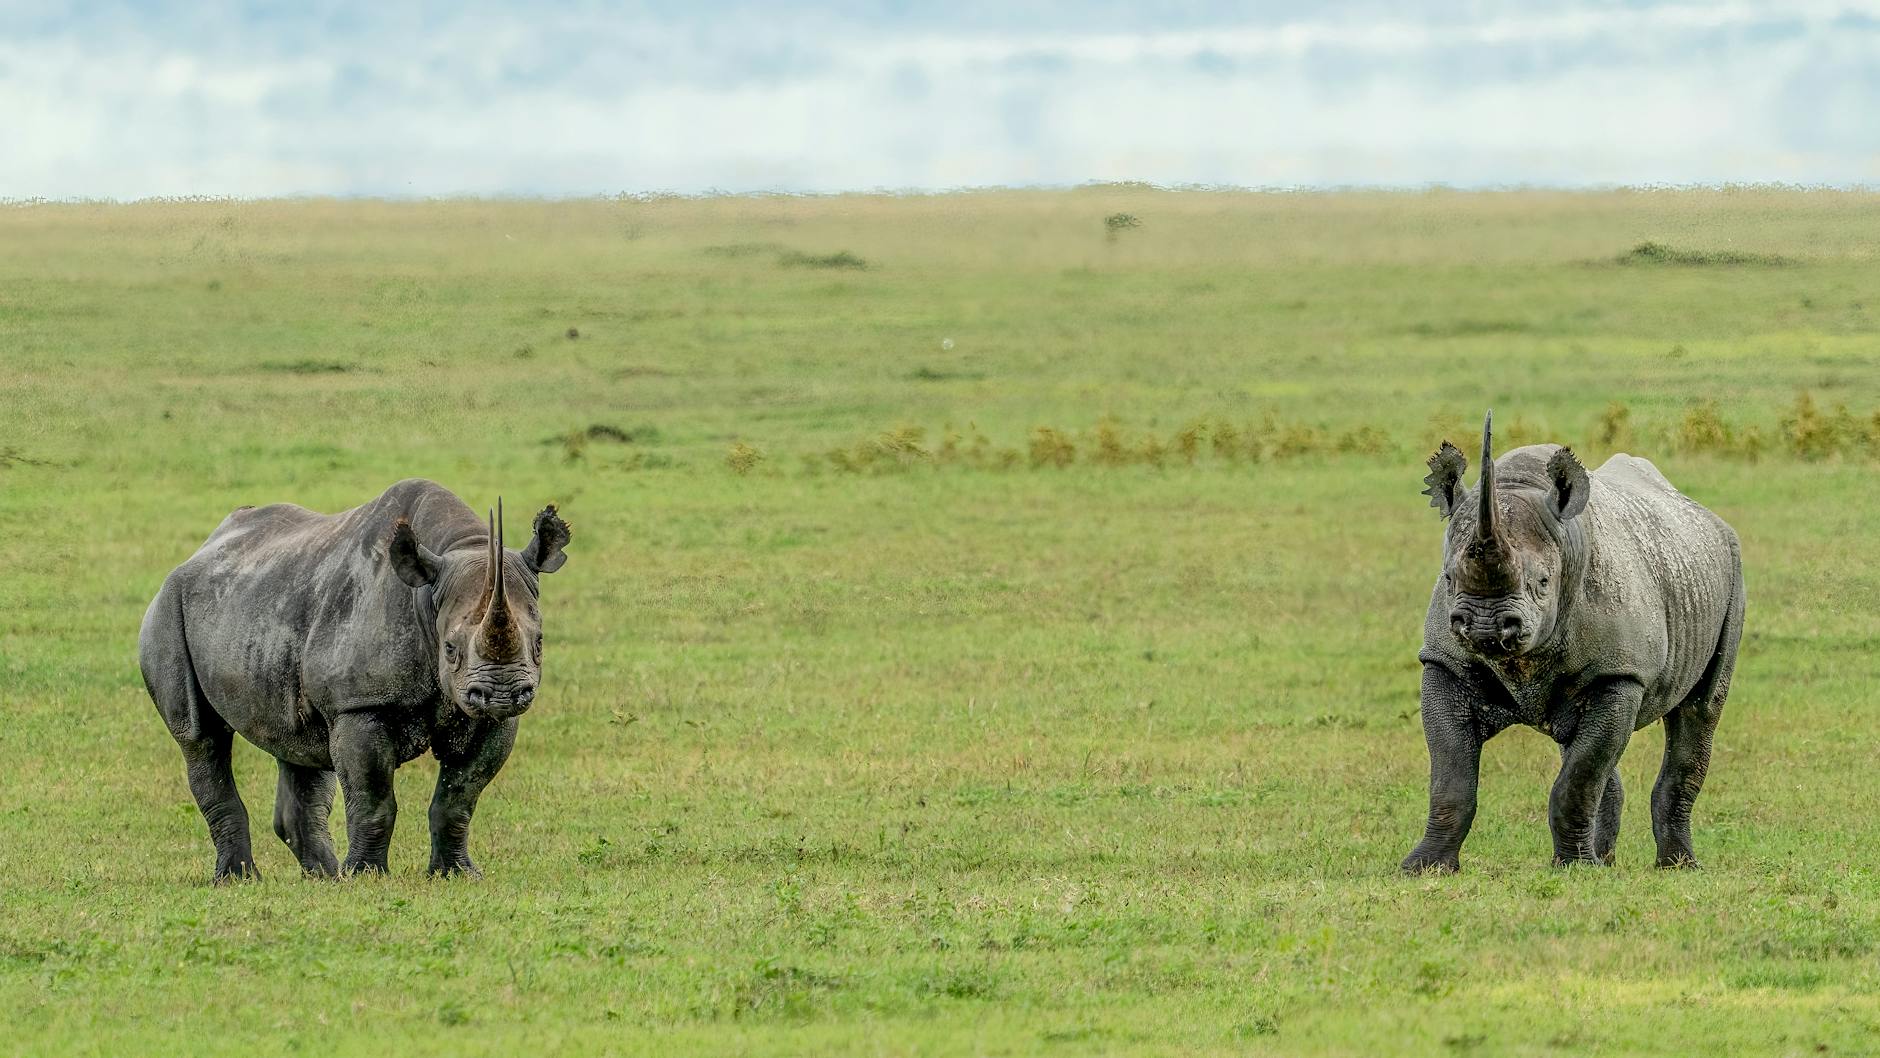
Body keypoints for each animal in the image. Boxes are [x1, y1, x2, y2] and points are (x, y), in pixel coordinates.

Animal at [138, 479, 571, 881]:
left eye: (539, 642)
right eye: (449, 649)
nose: (503, 695)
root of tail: (199, 552)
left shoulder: (488, 719)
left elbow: (459, 797)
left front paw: (457, 875)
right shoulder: (359, 704)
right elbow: (373, 797)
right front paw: (366, 876)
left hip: (268, 602)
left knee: (300, 746)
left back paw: (325, 878)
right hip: (167, 610)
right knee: (201, 737)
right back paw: (240, 879)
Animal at [1401, 413, 1743, 872]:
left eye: (1544, 582)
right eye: (1449, 578)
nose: (1486, 627)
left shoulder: (1620, 673)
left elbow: (1579, 779)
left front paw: (1576, 869)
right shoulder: (1444, 662)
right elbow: (1450, 778)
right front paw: (1423, 868)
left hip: (1730, 569)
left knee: (1700, 710)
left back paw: (1677, 867)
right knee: (1586, 745)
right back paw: (1607, 860)